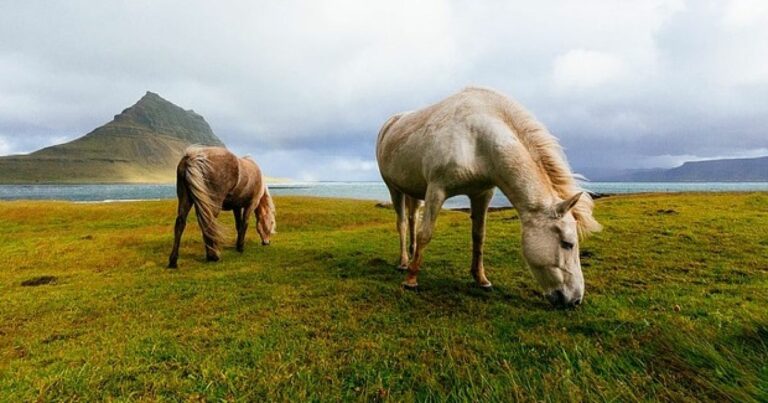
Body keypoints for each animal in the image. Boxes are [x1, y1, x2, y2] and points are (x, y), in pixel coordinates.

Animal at [376, 87, 604, 310]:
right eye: (567, 244)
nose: (575, 299)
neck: (477, 139)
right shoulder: (436, 190)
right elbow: (426, 234)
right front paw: (411, 280)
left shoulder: (482, 194)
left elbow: (479, 237)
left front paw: (481, 279)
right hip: (394, 188)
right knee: (402, 223)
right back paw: (404, 262)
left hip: (414, 191)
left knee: (413, 219)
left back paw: (412, 253)